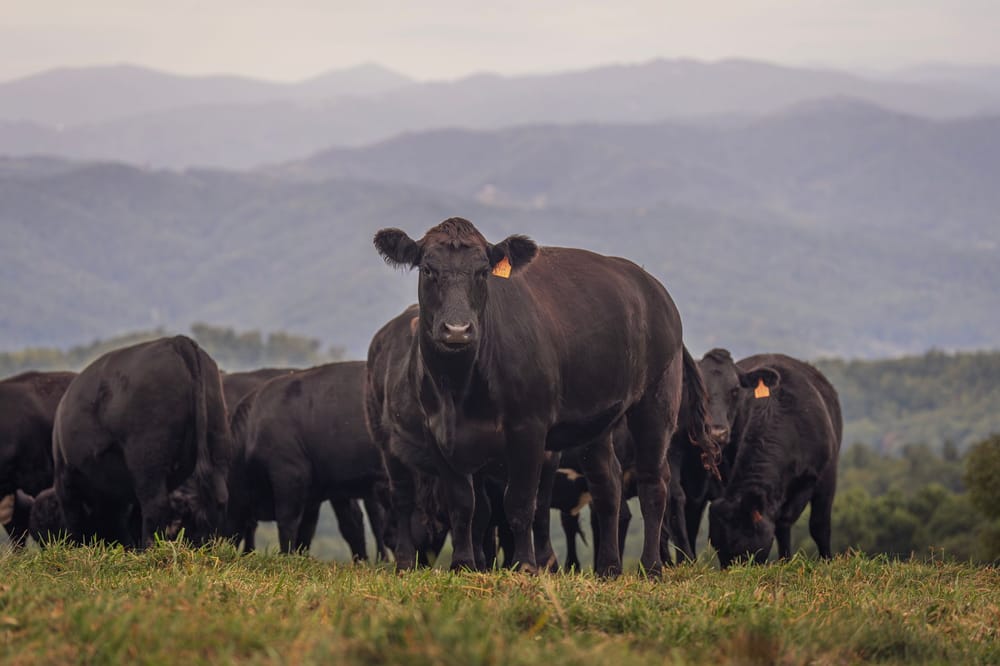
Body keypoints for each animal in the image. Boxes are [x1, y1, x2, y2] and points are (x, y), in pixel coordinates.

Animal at [50, 336, 232, 547]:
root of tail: (177, 341)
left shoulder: (66, 481)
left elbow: (75, 521)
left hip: (147, 460)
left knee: (155, 504)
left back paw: (149, 548)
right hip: (217, 444)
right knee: (218, 498)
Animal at [369, 217, 717, 576]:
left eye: (482, 271)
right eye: (428, 269)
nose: (457, 329)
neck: (459, 389)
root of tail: (652, 287)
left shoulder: (529, 429)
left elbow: (521, 502)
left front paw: (525, 565)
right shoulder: (437, 434)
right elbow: (463, 505)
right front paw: (464, 564)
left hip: (656, 402)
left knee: (654, 483)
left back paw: (652, 567)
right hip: (598, 423)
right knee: (608, 485)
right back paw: (608, 568)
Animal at [704, 351, 842, 567]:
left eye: (746, 549)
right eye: (717, 546)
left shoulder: (827, 473)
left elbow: (819, 525)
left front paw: (827, 561)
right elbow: (781, 525)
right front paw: (785, 561)